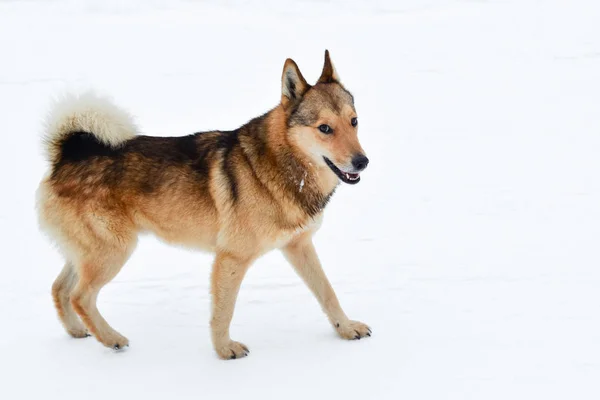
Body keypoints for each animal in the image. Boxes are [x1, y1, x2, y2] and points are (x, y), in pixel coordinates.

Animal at [37, 50, 370, 360]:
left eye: (354, 122)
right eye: (324, 128)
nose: (362, 162)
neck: (282, 165)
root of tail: (68, 154)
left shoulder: (298, 246)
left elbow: (327, 292)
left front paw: (346, 328)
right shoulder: (231, 258)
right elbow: (223, 311)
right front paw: (224, 350)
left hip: (91, 253)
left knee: (60, 289)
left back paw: (78, 331)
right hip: (114, 251)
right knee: (80, 296)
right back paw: (111, 339)